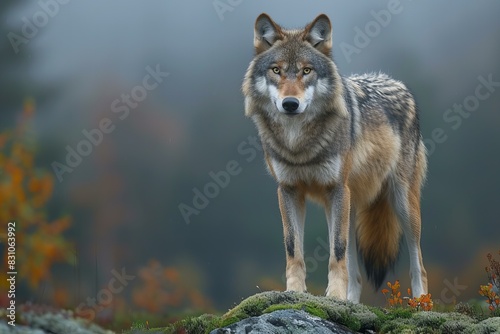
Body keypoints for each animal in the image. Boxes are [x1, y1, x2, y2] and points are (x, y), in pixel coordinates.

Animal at [241, 13, 426, 302]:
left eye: (307, 71)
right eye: (276, 70)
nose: (290, 104)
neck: (299, 143)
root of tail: (399, 84)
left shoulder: (336, 188)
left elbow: (336, 250)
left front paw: (335, 296)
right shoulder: (288, 190)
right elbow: (293, 249)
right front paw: (295, 292)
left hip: (400, 203)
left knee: (419, 263)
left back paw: (421, 303)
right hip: (347, 206)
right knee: (356, 273)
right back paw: (351, 301)